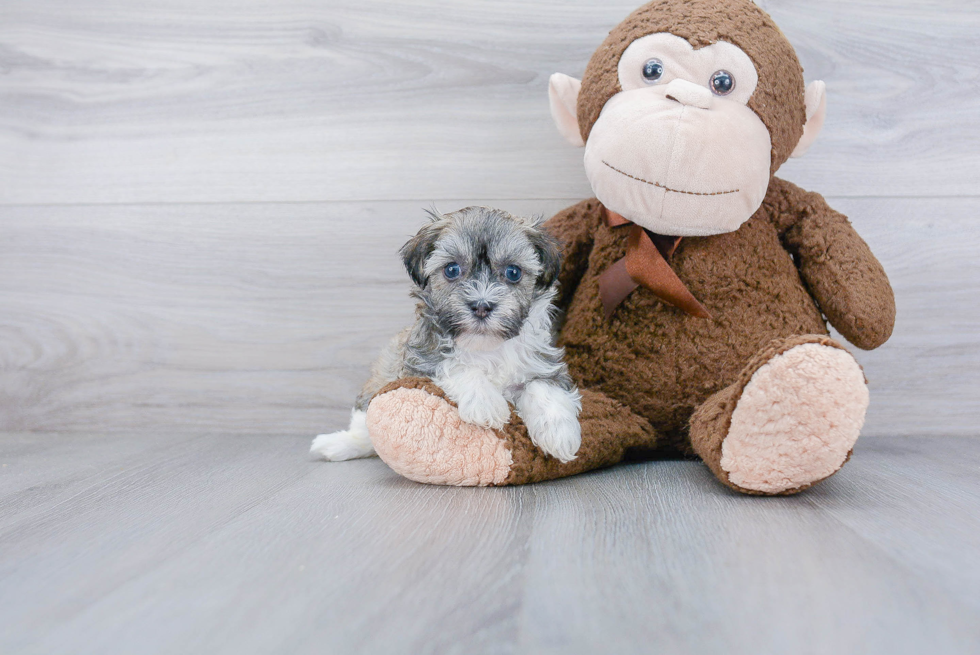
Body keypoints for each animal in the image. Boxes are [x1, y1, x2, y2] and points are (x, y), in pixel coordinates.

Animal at [310, 208, 580, 464]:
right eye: (452, 269)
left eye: (513, 272)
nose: (481, 306)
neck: (485, 346)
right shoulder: (420, 360)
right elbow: (453, 364)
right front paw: (485, 402)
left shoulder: (541, 361)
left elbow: (542, 386)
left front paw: (560, 433)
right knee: (365, 430)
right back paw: (336, 445)